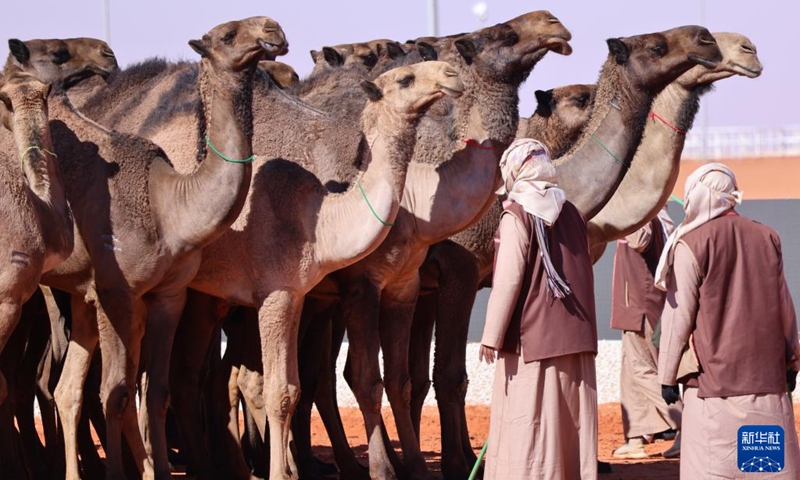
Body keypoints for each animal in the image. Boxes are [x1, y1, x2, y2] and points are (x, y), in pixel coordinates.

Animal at [30, 15, 288, 480]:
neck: (170, 206)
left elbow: (155, 391)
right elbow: (115, 392)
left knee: (67, 388)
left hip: (77, 296)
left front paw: (160, 470)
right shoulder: (115, 293)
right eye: (227, 34)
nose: (273, 29)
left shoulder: (170, 294)